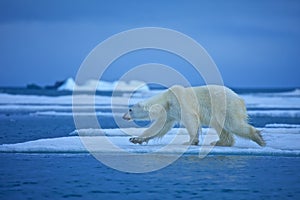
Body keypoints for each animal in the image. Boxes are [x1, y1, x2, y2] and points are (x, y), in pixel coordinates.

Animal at [122, 85, 264, 147]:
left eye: (130, 109)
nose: (124, 116)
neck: (166, 100)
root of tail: (240, 99)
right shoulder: (170, 112)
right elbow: (159, 128)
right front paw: (135, 139)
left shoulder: (180, 102)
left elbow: (190, 119)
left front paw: (190, 141)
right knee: (220, 126)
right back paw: (218, 142)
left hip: (226, 107)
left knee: (234, 124)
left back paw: (259, 138)